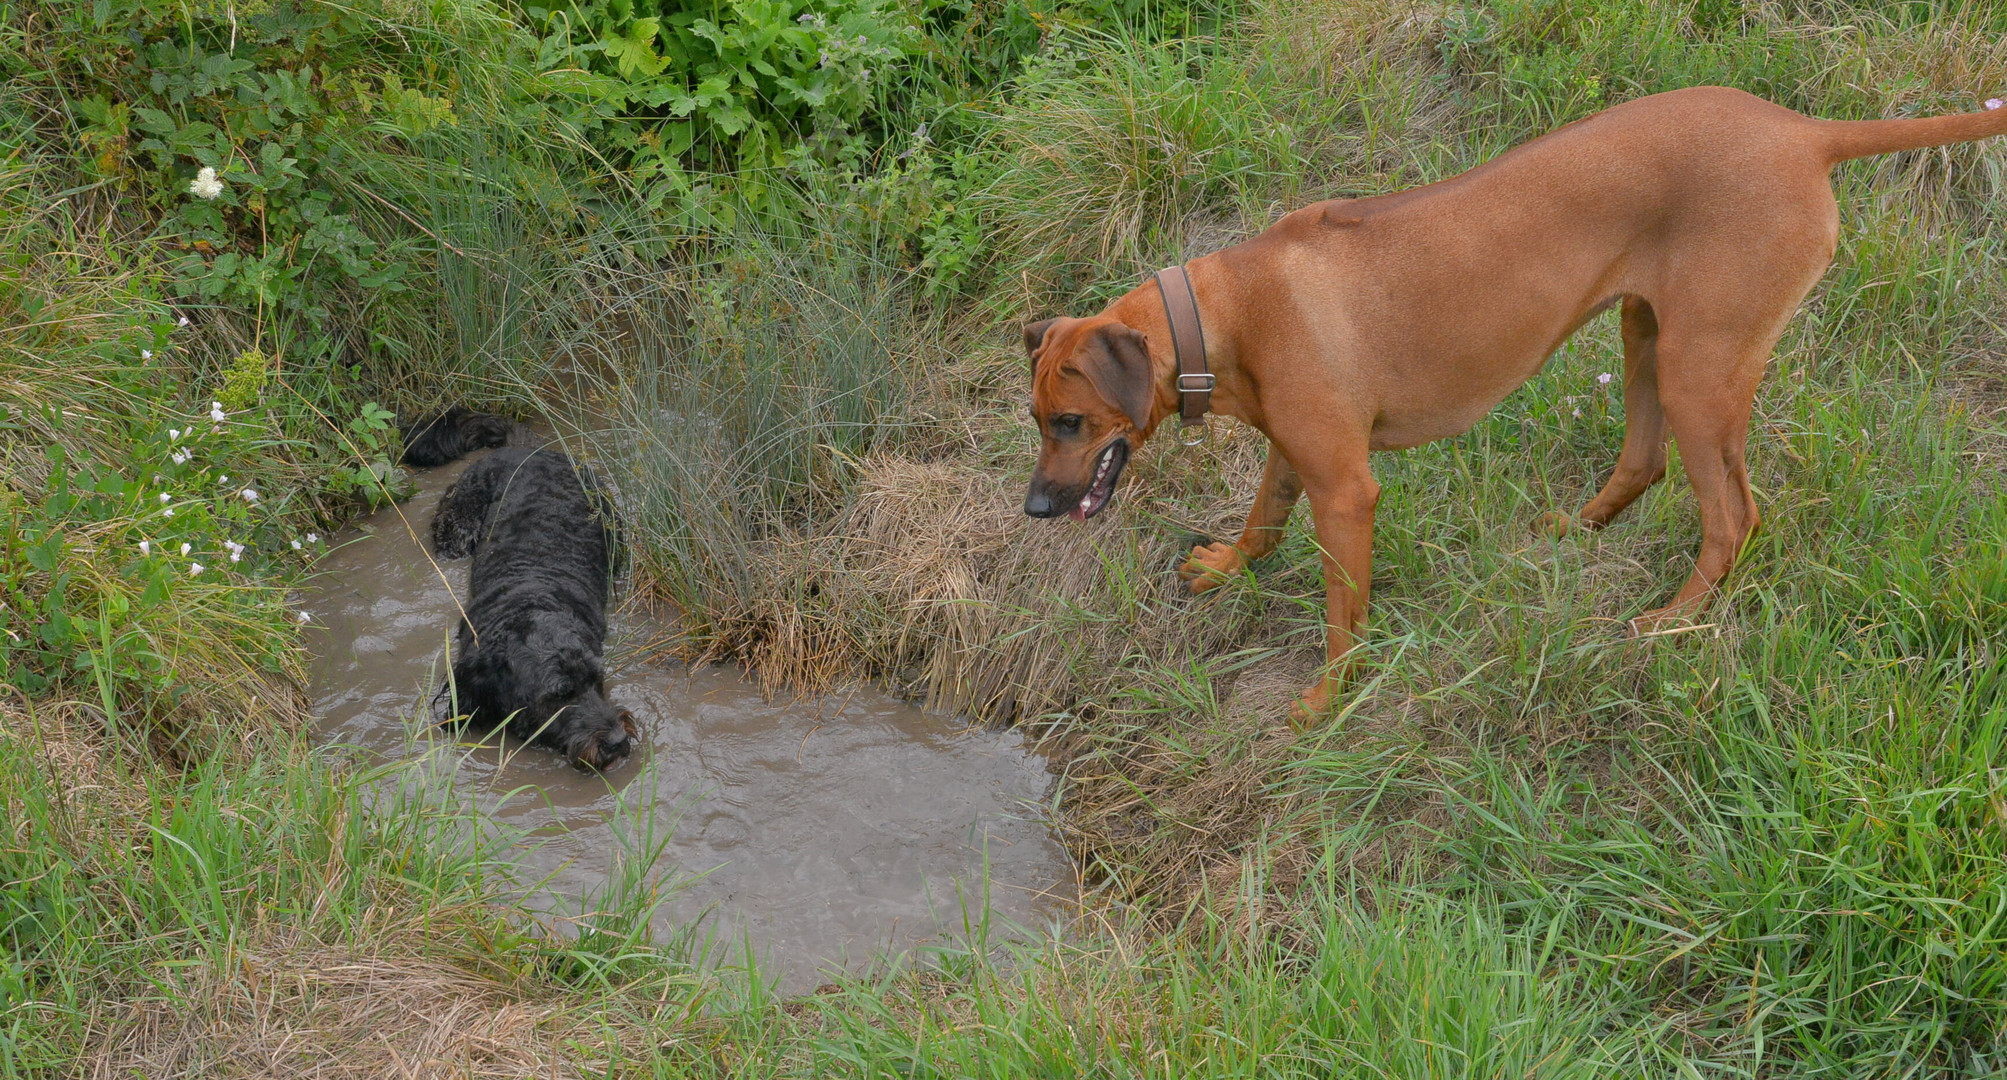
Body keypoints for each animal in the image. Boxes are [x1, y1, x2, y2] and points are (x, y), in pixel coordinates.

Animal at [425, 441, 634, 770]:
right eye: (557, 696)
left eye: (596, 679)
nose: (617, 741)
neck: (528, 600)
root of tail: (529, 446)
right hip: (457, 524)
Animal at [1027, 86, 1998, 714]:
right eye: (1036, 422)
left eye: (1070, 422)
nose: (1035, 507)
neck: (1228, 311)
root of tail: (1803, 133)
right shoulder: (1293, 452)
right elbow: (1263, 520)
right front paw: (1228, 566)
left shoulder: (1344, 490)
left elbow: (1343, 614)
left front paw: (1327, 699)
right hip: (1648, 335)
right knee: (1644, 461)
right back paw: (1576, 531)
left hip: (1699, 368)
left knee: (1734, 517)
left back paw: (1671, 621)